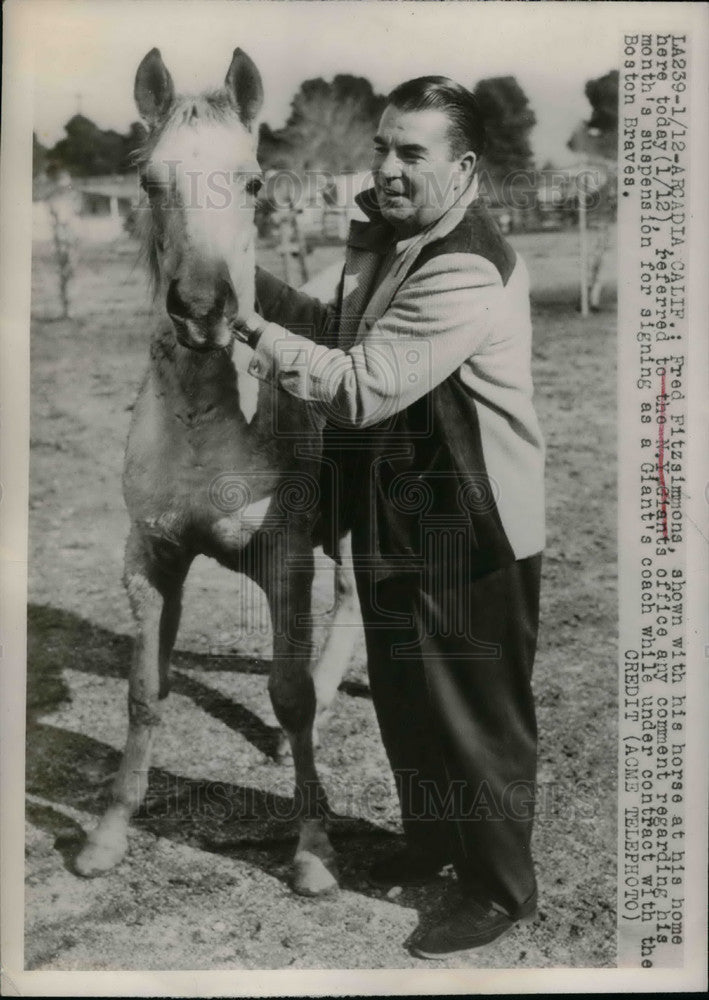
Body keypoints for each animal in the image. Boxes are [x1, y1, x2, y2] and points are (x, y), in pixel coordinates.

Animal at [74, 47, 359, 897]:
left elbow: (290, 693)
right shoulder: (150, 558)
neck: (210, 420)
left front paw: (312, 847)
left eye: (253, 181)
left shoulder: (284, 560)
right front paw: (107, 836)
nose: (202, 309)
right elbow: (144, 695)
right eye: (148, 183)